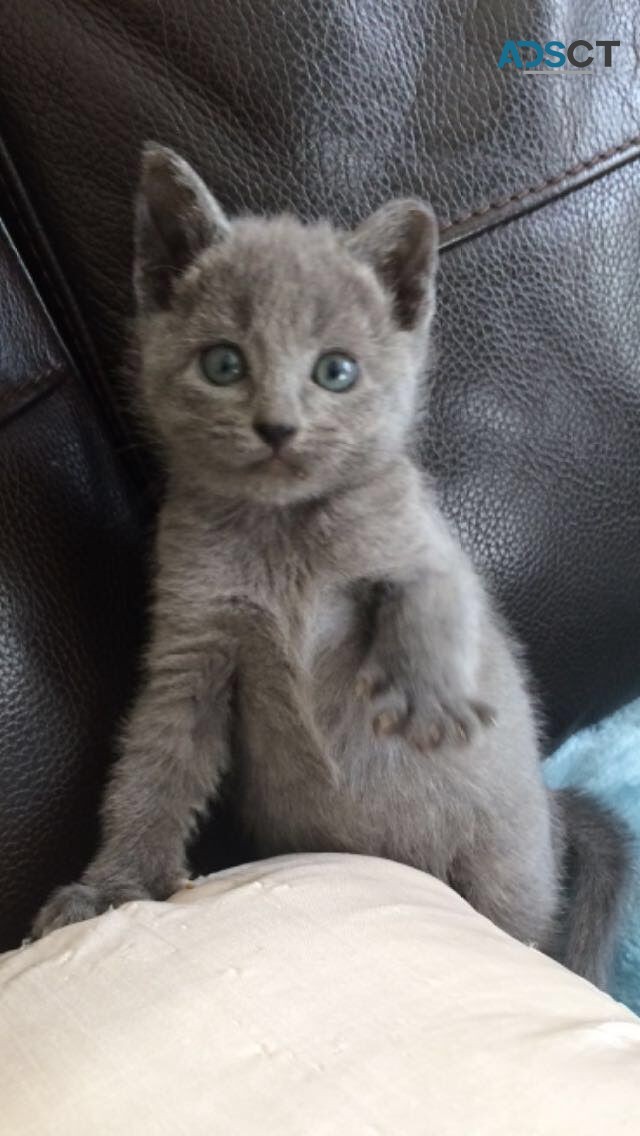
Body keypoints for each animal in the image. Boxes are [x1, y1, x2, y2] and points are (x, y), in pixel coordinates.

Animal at [32, 148, 627, 986]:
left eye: (336, 372)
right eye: (224, 363)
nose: (279, 427)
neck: (283, 532)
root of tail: (549, 807)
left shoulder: (428, 542)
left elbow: (428, 600)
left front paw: (427, 698)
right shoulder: (194, 638)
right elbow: (154, 766)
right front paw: (109, 889)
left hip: (506, 870)